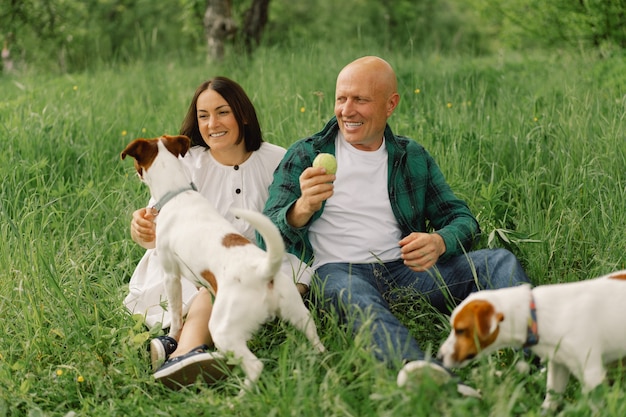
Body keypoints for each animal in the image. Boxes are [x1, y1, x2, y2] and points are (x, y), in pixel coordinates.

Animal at [123, 136, 326, 390]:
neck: (178, 194)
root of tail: (262, 272)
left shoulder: (171, 276)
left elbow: (177, 316)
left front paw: (175, 338)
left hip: (223, 329)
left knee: (255, 366)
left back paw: (241, 394)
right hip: (298, 313)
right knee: (317, 341)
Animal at [436, 270, 624, 410]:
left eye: (460, 330)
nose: (439, 357)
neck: (536, 316)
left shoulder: (591, 374)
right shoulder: (558, 365)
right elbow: (550, 401)